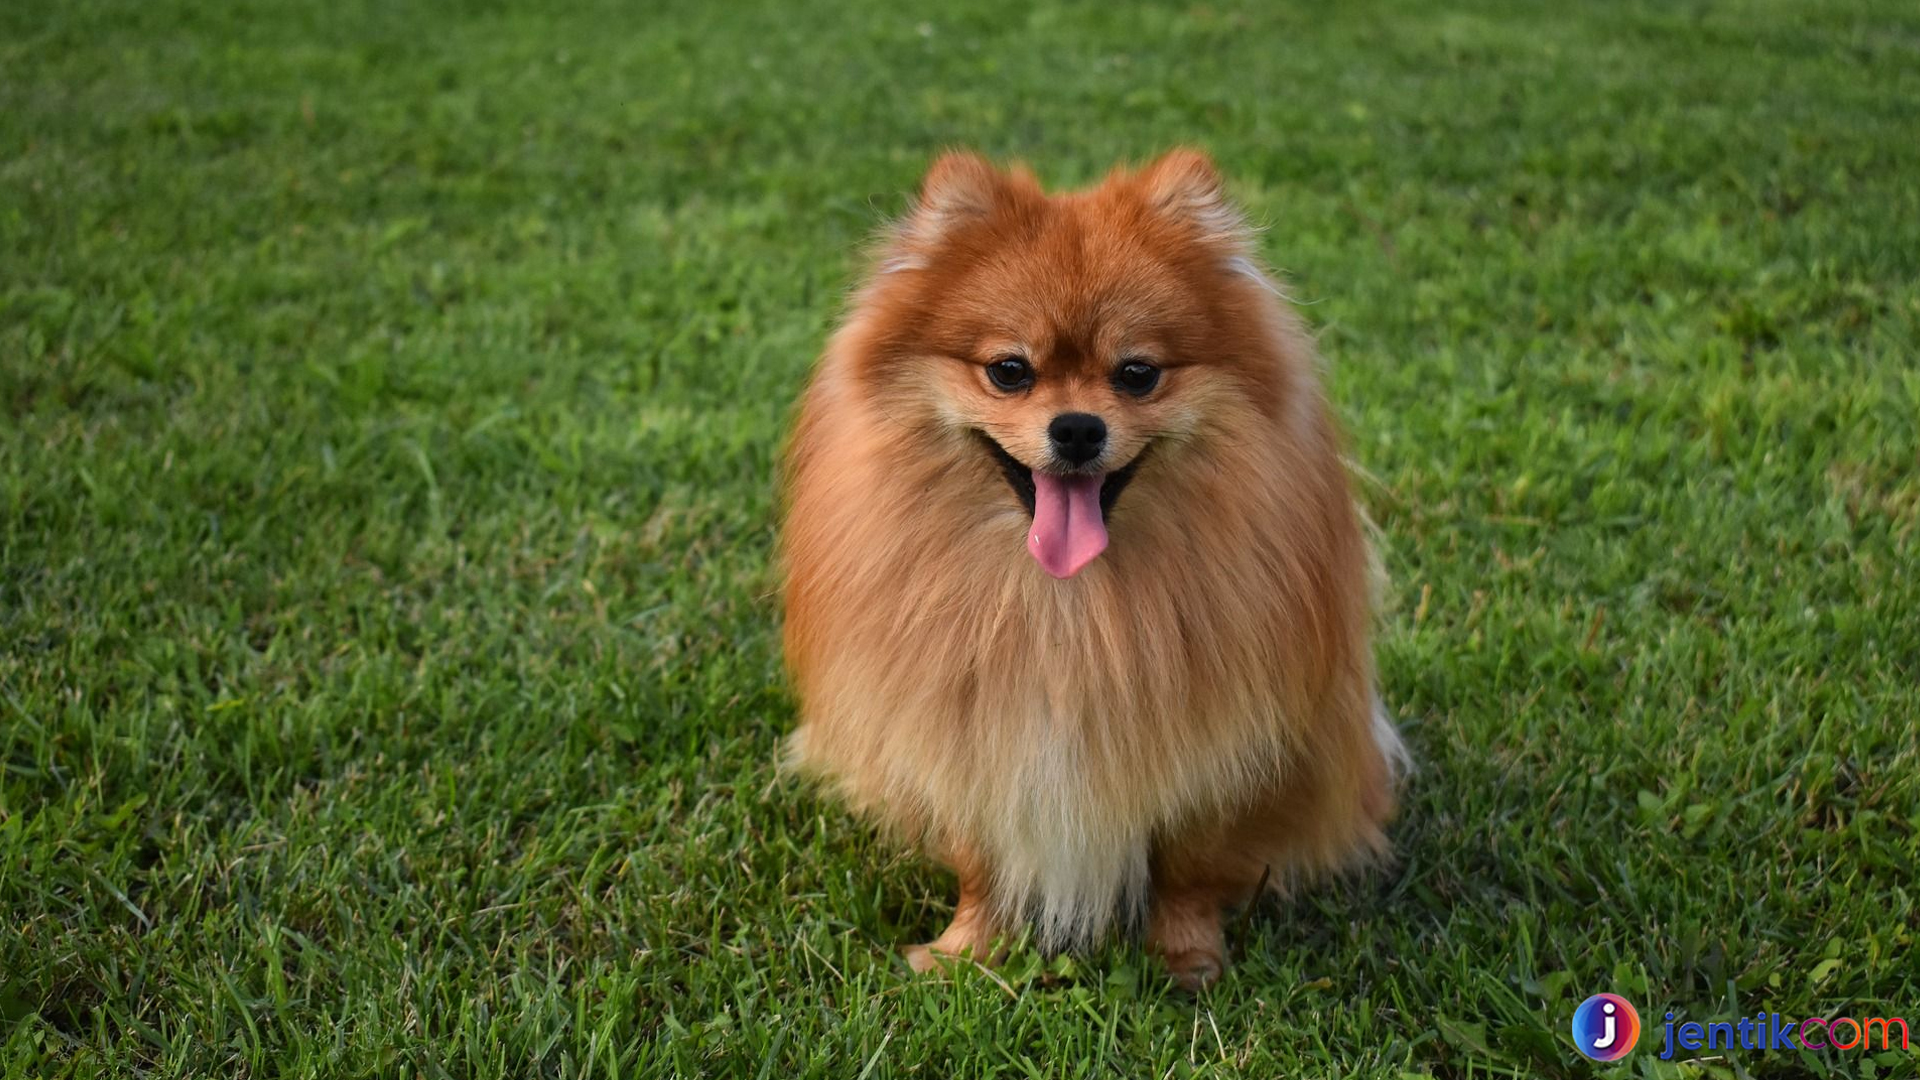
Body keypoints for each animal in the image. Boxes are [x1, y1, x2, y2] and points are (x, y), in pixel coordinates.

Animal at [783, 148, 1413, 983]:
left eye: (1138, 373)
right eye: (1009, 371)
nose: (1077, 428)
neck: (1065, 603)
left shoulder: (1218, 748)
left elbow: (1189, 865)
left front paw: (1185, 958)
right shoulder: (969, 731)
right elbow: (979, 859)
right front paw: (965, 951)